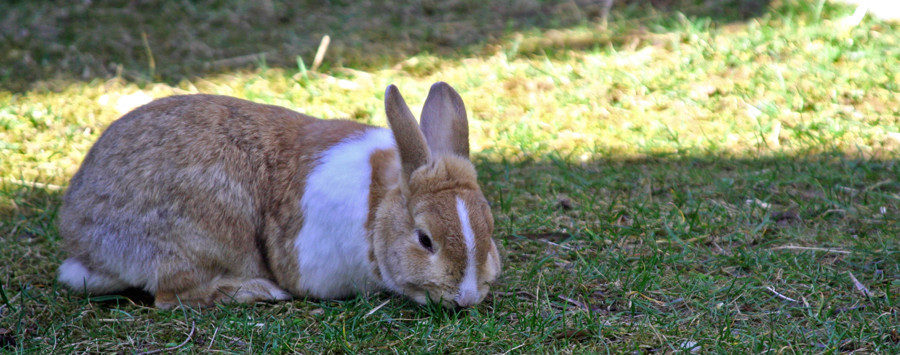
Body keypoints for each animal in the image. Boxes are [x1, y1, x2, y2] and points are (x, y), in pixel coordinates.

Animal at [59, 81, 502, 308]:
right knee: (170, 296)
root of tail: (81, 236)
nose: (465, 297)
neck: (376, 205)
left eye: (489, 228)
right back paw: (259, 291)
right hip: (201, 236)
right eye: (425, 240)